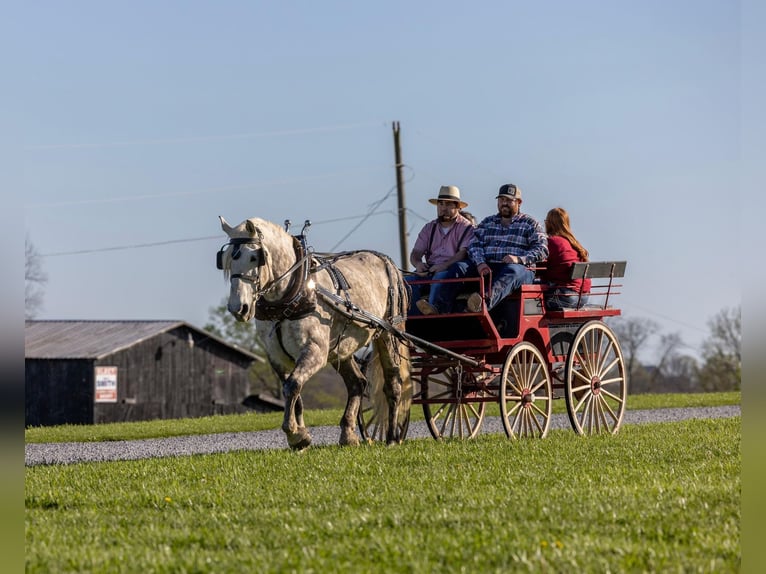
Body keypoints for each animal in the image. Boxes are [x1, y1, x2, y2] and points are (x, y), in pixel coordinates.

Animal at [219, 216, 412, 450]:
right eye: (225, 260)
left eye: (255, 257)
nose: (238, 308)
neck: (290, 294)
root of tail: (386, 261)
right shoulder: (276, 356)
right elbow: (293, 391)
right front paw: (300, 435)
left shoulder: (315, 350)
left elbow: (293, 385)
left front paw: (295, 434)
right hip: (341, 347)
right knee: (357, 383)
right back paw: (348, 434)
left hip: (389, 335)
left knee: (393, 384)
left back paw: (392, 437)